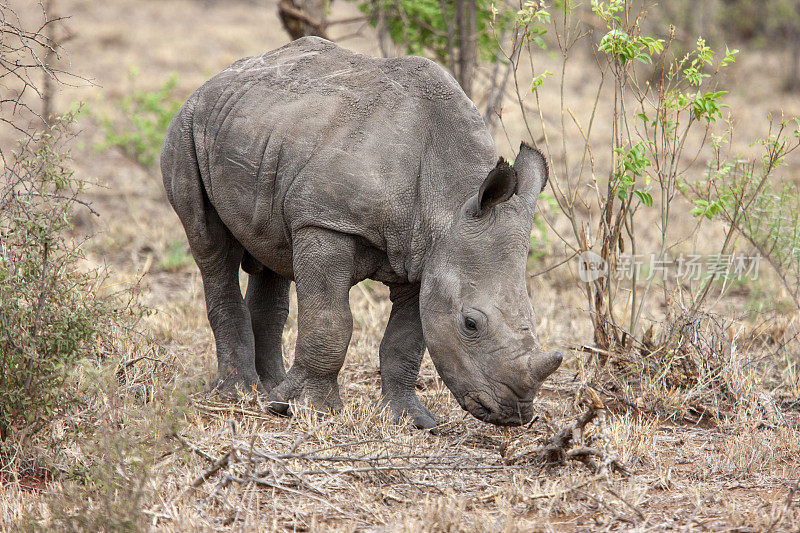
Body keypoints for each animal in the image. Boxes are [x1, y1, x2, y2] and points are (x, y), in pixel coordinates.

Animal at [162, 36, 564, 428]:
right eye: (470, 324)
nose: (513, 414)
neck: (449, 199)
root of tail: (214, 79)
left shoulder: (425, 255)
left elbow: (407, 340)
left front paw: (411, 419)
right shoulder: (327, 221)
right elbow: (330, 321)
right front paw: (312, 410)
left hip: (262, 133)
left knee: (271, 252)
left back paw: (271, 391)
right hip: (188, 126)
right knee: (213, 250)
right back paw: (239, 394)